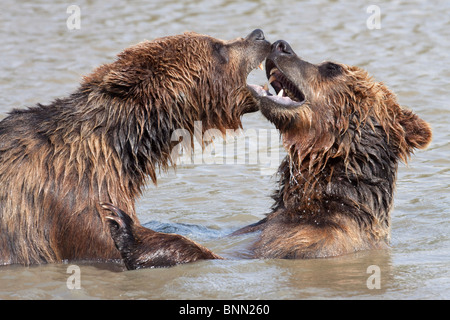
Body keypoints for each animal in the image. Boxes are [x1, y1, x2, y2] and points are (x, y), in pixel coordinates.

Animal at [0, 30, 270, 266]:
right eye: (217, 47)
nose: (259, 35)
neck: (123, 144)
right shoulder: (74, 194)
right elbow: (102, 240)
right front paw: (125, 228)